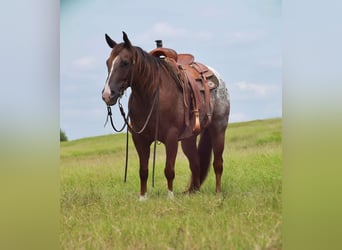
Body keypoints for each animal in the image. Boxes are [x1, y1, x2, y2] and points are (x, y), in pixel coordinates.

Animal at [101, 31, 230, 200]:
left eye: (125, 62)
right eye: (107, 62)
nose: (107, 95)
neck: (150, 96)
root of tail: (217, 77)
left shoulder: (171, 137)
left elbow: (169, 169)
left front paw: (170, 197)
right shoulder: (139, 138)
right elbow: (143, 171)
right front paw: (143, 198)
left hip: (218, 129)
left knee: (218, 163)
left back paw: (218, 193)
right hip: (188, 139)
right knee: (195, 164)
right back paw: (193, 193)